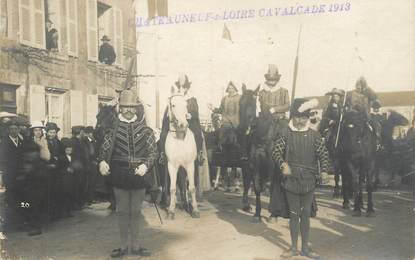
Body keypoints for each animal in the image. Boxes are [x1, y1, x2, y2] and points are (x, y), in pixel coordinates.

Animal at [164, 87, 200, 219]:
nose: (183, 124)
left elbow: (192, 188)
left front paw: (195, 210)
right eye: (173, 105)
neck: (180, 139)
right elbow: (173, 189)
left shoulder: (190, 165)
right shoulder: (172, 166)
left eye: (186, 105)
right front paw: (171, 210)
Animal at [239, 86, 274, 221]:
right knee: (246, 181)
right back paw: (246, 205)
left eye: (253, 104)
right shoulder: (254, 165)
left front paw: (273, 213)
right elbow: (257, 187)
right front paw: (257, 214)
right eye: (241, 103)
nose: (242, 127)